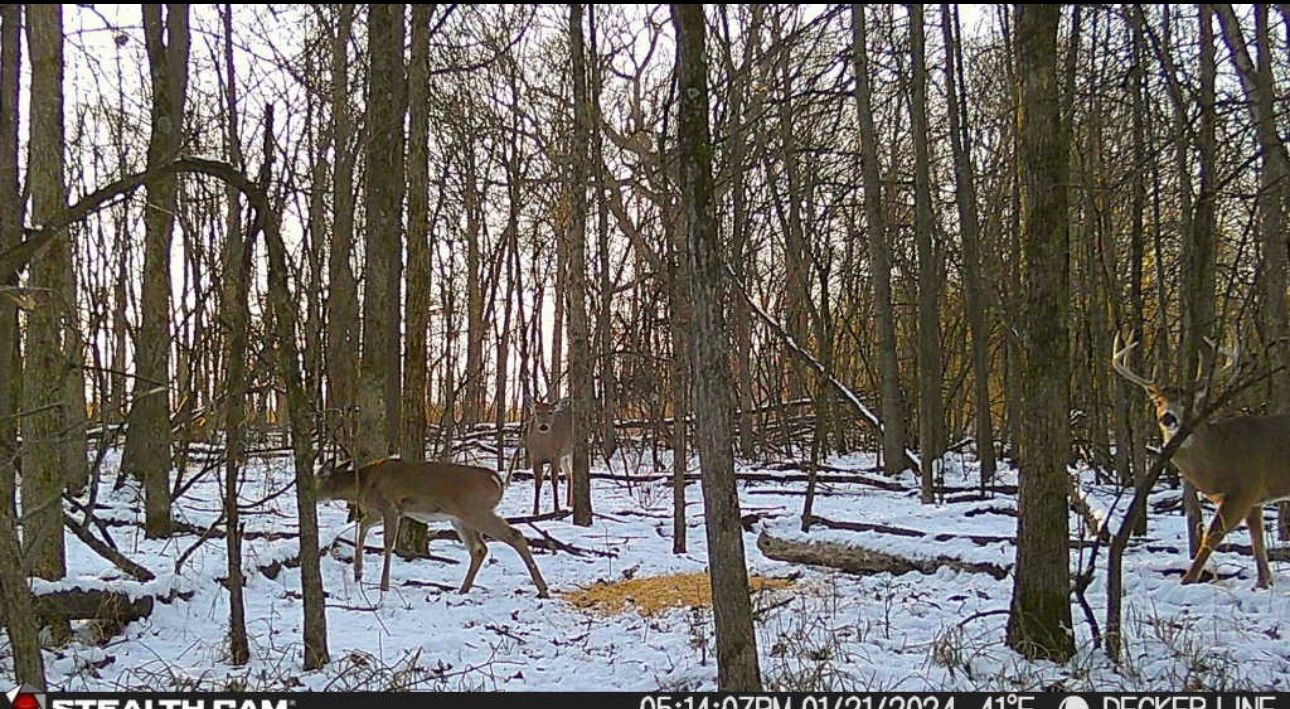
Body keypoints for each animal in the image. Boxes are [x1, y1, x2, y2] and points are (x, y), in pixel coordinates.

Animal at [316, 457, 550, 598]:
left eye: (315, 479)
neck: (363, 484)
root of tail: (497, 479)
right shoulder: (376, 512)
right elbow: (362, 527)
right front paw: (358, 573)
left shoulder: (390, 507)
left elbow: (388, 544)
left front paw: (383, 586)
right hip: (460, 518)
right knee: (479, 548)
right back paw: (463, 590)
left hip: (475, 510)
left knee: (514, 534)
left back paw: (543, 588)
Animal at [1112, 333, 1290, 589]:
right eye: (1157, 401)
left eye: (1187, 403)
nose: (1168, 417)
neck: (1218, 457)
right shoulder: (1254, 497)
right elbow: (1257, 538)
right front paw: (1263, 583)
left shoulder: (1245, 487)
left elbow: (1211, 535)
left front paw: (1187, 579)